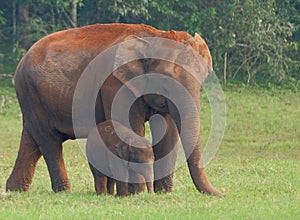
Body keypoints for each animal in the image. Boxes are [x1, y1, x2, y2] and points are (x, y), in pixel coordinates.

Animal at [5, 24, 221, 196]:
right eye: (166, 82)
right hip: (31, 94)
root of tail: (21, 61)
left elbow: (167, 131)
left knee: (33, 140)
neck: (151, 37)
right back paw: (64, 191)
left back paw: (14, 189)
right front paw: (138, 194)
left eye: (203, 80)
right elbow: (131, 126)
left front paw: (164, 193)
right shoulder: (115, 85)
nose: (221, 193)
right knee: (50, 141)